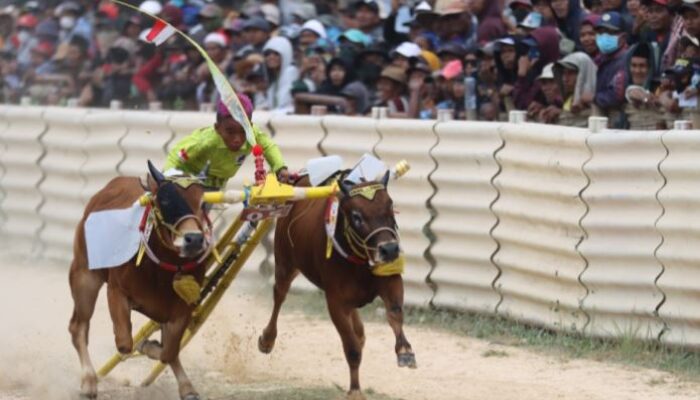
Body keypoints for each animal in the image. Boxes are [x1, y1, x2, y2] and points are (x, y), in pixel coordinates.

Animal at [68, 162, 211, 400]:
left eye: (204, 203)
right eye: (165, 201)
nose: (194, 239)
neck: (161, 269)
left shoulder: (183, 307)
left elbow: (169, 351)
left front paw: (186, 386)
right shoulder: (116, 292)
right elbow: (125, 344)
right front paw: (145, 345)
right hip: (84, 276)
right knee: (78, 327)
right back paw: (89, 380)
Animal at [258, 172, 416, 400]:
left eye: (390, 205)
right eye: (357, 216)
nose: (390, 249)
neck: (358, 260)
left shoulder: (390, 278)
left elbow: (395, 313)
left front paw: (405, 351)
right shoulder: (335, 302)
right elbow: (351, 348)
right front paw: (355, 390)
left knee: (358, 327)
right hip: (285, 262)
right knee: (279, 295)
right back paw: (267, 339)